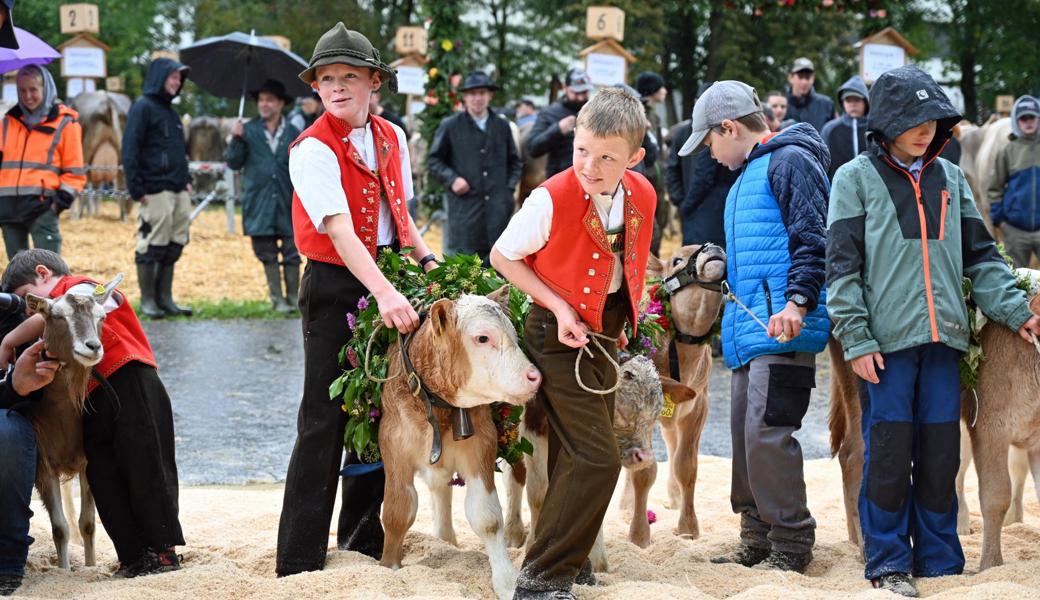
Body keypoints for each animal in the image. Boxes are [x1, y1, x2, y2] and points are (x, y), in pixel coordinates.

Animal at [378, 287, 540, 594]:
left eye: (515, 335)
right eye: (483, 337)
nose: (534, 376)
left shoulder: (481, 445)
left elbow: (487, 517)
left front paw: (506, 580)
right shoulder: (394, 448)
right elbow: (398, 510)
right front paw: (388, 567)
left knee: (521, 479)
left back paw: (518, 534)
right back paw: (445, 540)